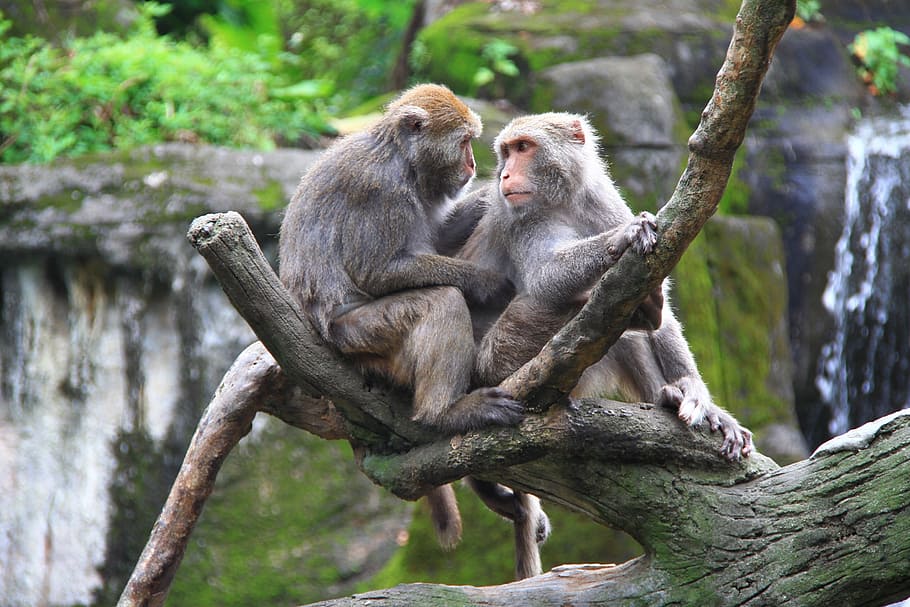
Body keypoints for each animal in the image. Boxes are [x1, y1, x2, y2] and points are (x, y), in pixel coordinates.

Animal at [277, 84, 534, 558]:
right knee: (441, 301)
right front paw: (485, 282)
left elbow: (436, 239)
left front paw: (485, 199)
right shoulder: (380, 189)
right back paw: (444, 414)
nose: (473, 166)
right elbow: (377, 271)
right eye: (464, 142)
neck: (402, 159)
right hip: (360, 333)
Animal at [452, 112, 753, 462]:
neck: (563, 199)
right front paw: (623, 235)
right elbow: (545, 279)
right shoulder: (516, 218)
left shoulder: (600, 198)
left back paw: (664, 392)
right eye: (506, 151)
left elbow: (657, 295)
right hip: (494, 363)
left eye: (523, 147)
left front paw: (694, 390)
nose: (505, 174)